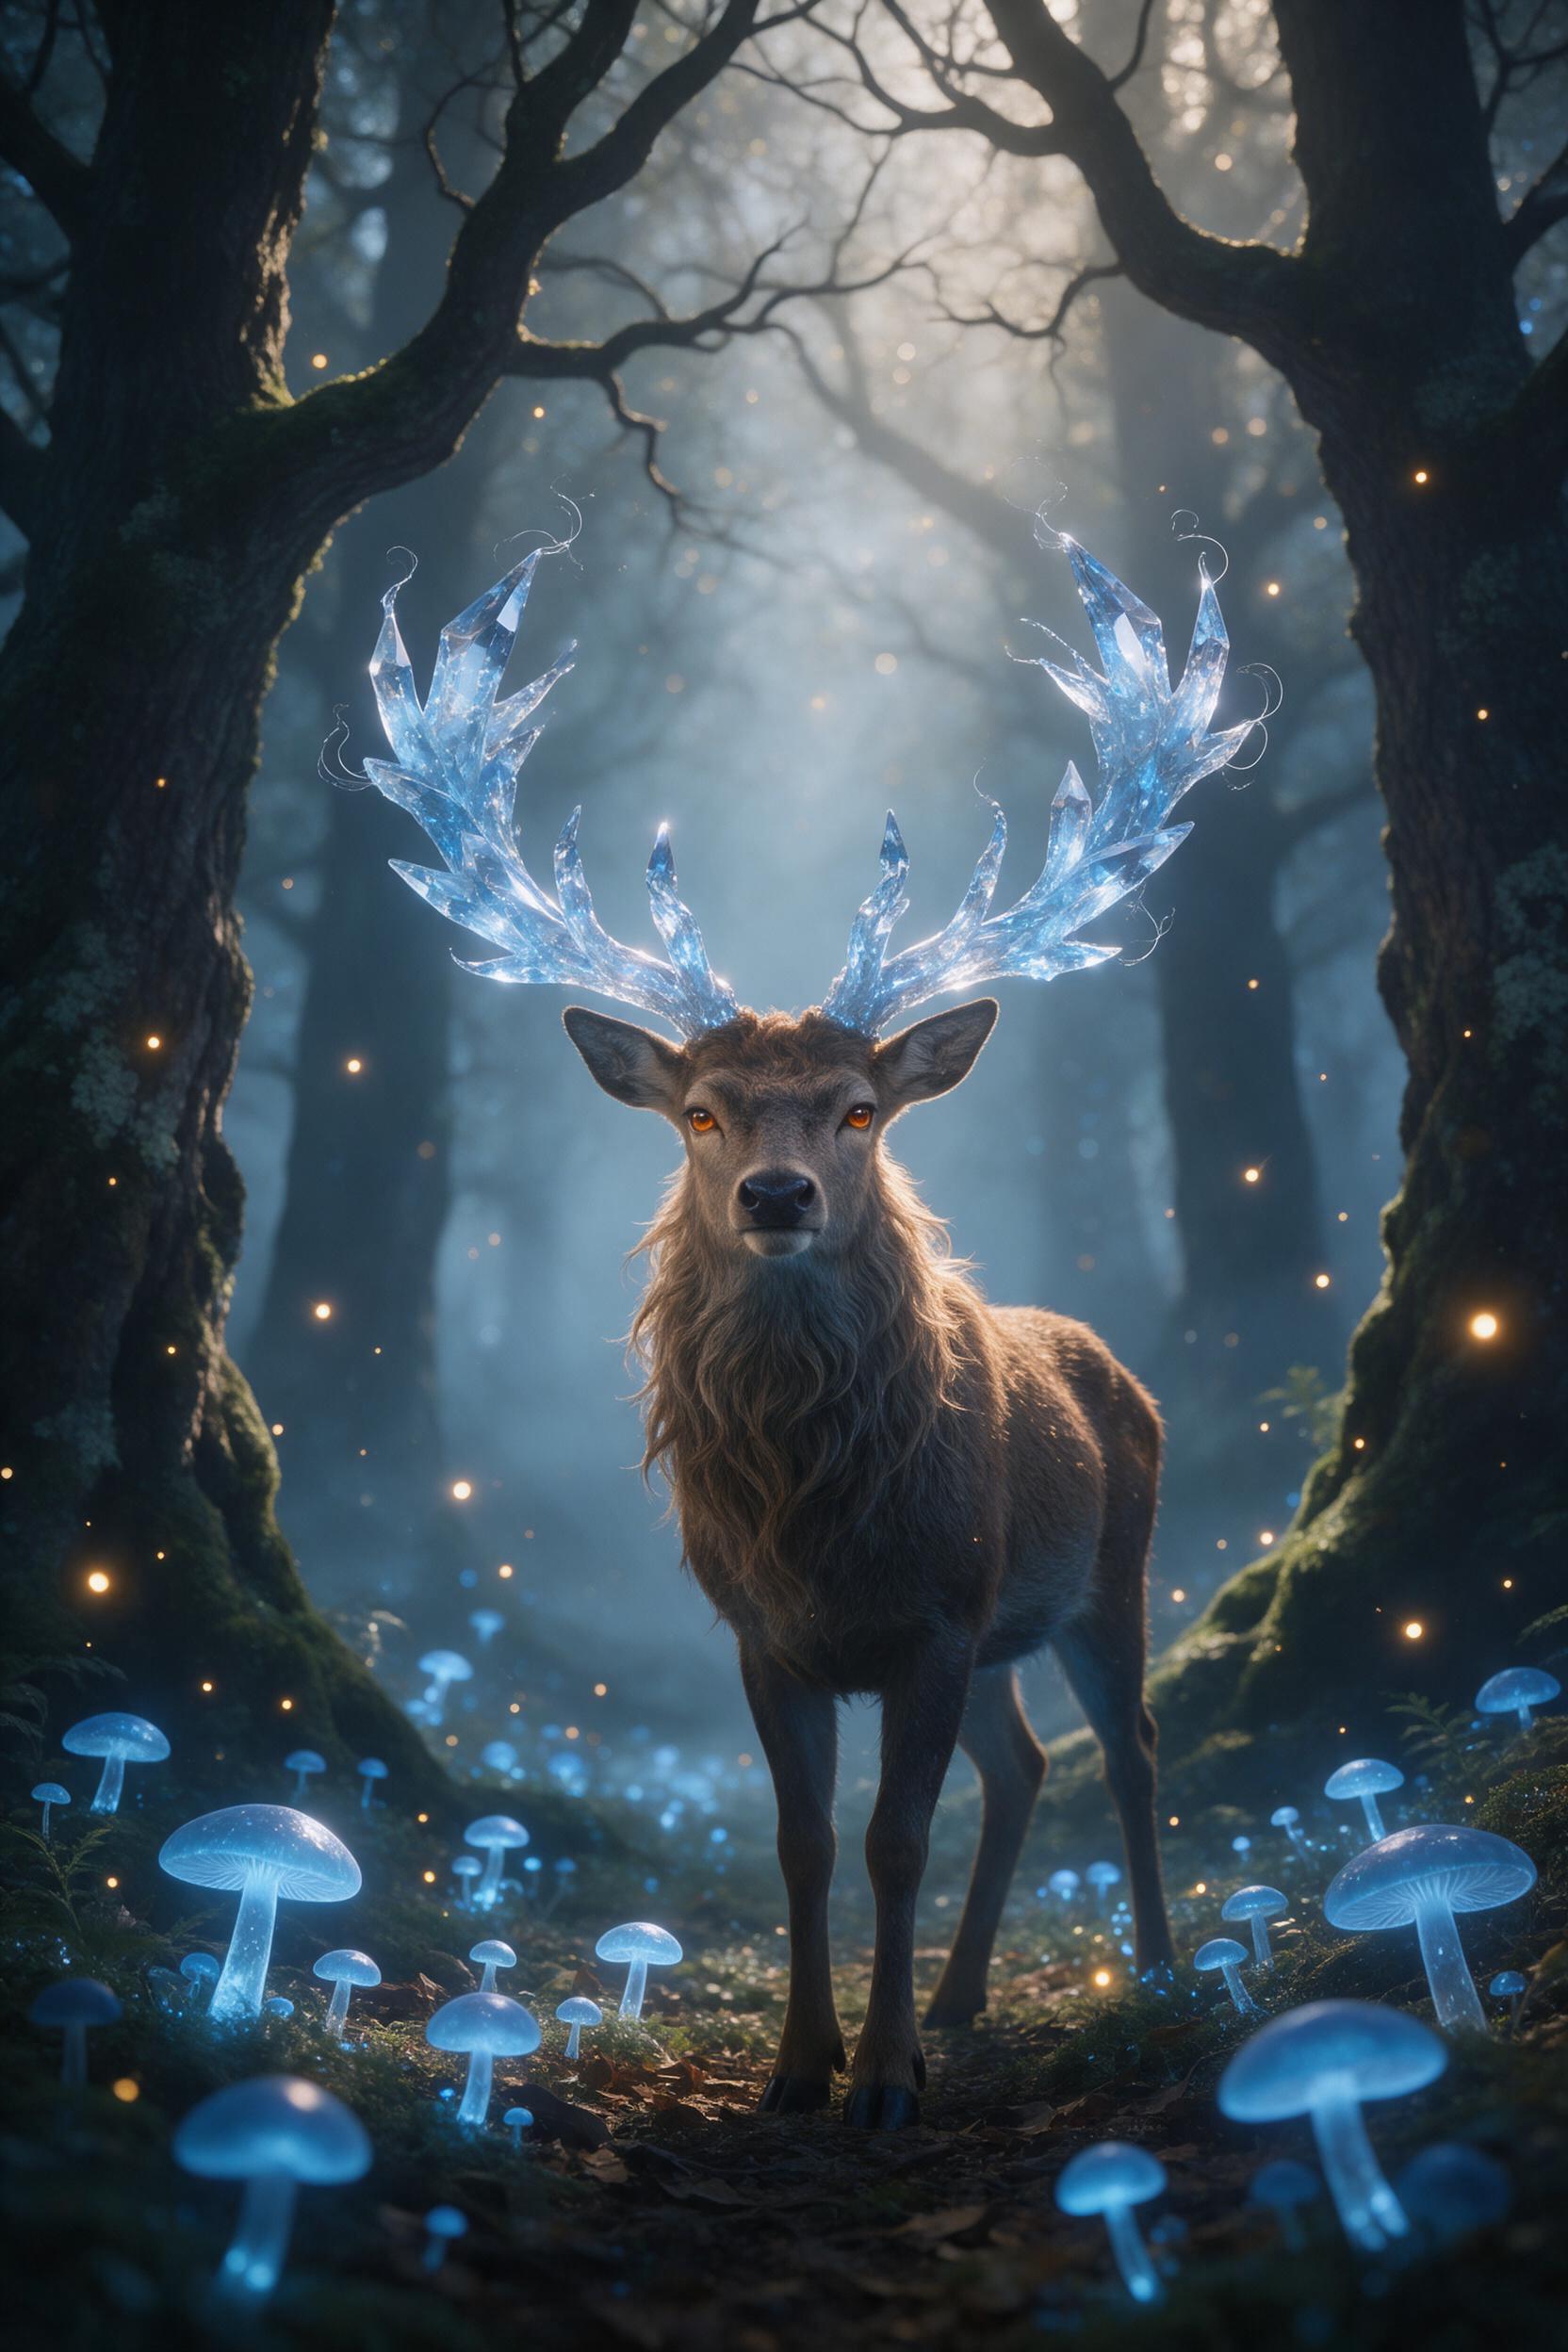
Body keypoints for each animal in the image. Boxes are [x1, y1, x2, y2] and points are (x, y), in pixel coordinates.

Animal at [346, 529, 1256, 2127]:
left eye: (861, 1109)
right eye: (702, 1113)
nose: (778, 1194)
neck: (819, 1511)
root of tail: (1114, 1370)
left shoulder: (939, 1613)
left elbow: (896, 1840)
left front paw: (883, 2079)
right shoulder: (764, 1633)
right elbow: (807, 1841)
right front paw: (801, 2062)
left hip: (1106, 1572)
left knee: (1131, 1750)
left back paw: (1144, 1971)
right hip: (1016, 1624)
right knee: (1026, 1768)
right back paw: (962, 1998)